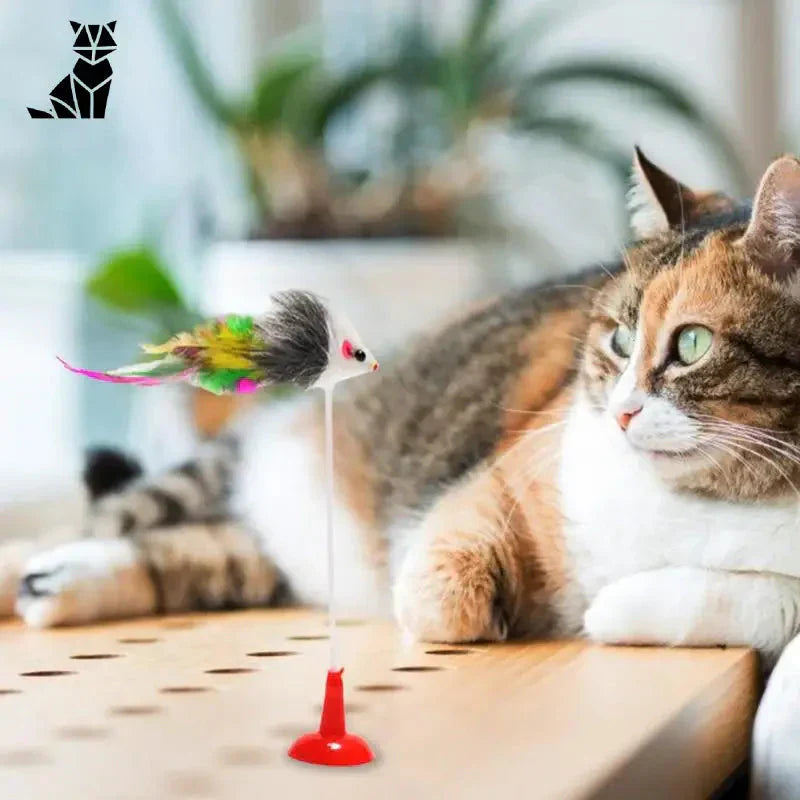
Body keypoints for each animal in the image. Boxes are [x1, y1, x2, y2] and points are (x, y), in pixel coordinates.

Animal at [4, 148, 800, 792]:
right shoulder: (502, 476)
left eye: (691, 344)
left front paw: (606, 608)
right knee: (115, 517)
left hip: (261, 551)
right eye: (620, 339)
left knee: (191, 552)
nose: (624, 413)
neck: (698, 498)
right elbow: (441, 593)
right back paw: (30, 572)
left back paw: (56, 586)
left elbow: (753, 601)